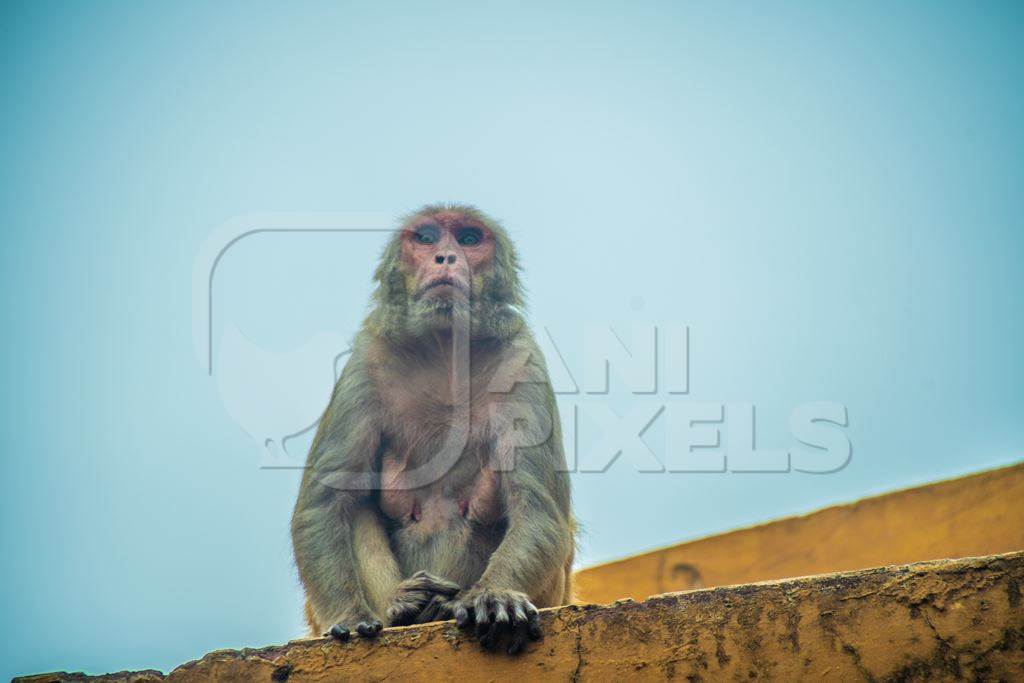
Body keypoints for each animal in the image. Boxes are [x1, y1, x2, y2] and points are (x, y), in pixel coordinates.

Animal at [290, 204, 577, 655]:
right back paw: (408, 607)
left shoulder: (523, 360)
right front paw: (349, 616)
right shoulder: (365, 360)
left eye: (470, 238)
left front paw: (496, 595)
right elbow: (324, 502)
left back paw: (439, 606)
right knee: (355, 506)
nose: (445, 256)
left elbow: (538, 506)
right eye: (425, 238)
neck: (446, 350)